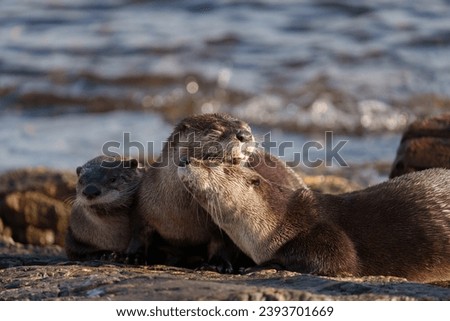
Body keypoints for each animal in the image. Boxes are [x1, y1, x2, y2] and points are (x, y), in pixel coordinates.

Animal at [126, 112, 302, 270]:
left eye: (248, 127)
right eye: (216, 129)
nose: (245, 135)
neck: (181, 213)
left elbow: (223, 245)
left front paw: (218, 264)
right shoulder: (144, 204)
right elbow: (139, 233)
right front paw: (133, 256)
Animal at [178, 159, 450, 282]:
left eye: (215, 165)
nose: (185, 160)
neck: (282, 221)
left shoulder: (324, 230)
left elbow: (340, 259)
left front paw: (259, 267)